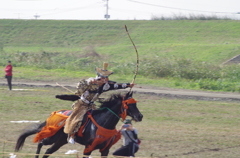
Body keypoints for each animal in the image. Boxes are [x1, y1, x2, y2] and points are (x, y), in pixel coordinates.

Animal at [14, 91, 142, 158]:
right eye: (129, 104)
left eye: (135, 104)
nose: (140, 116)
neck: (103, 124)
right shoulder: (88, 148)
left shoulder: (105, 150)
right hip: (52, 137)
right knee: (41, 143)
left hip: (61, 140)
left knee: (48, 151)